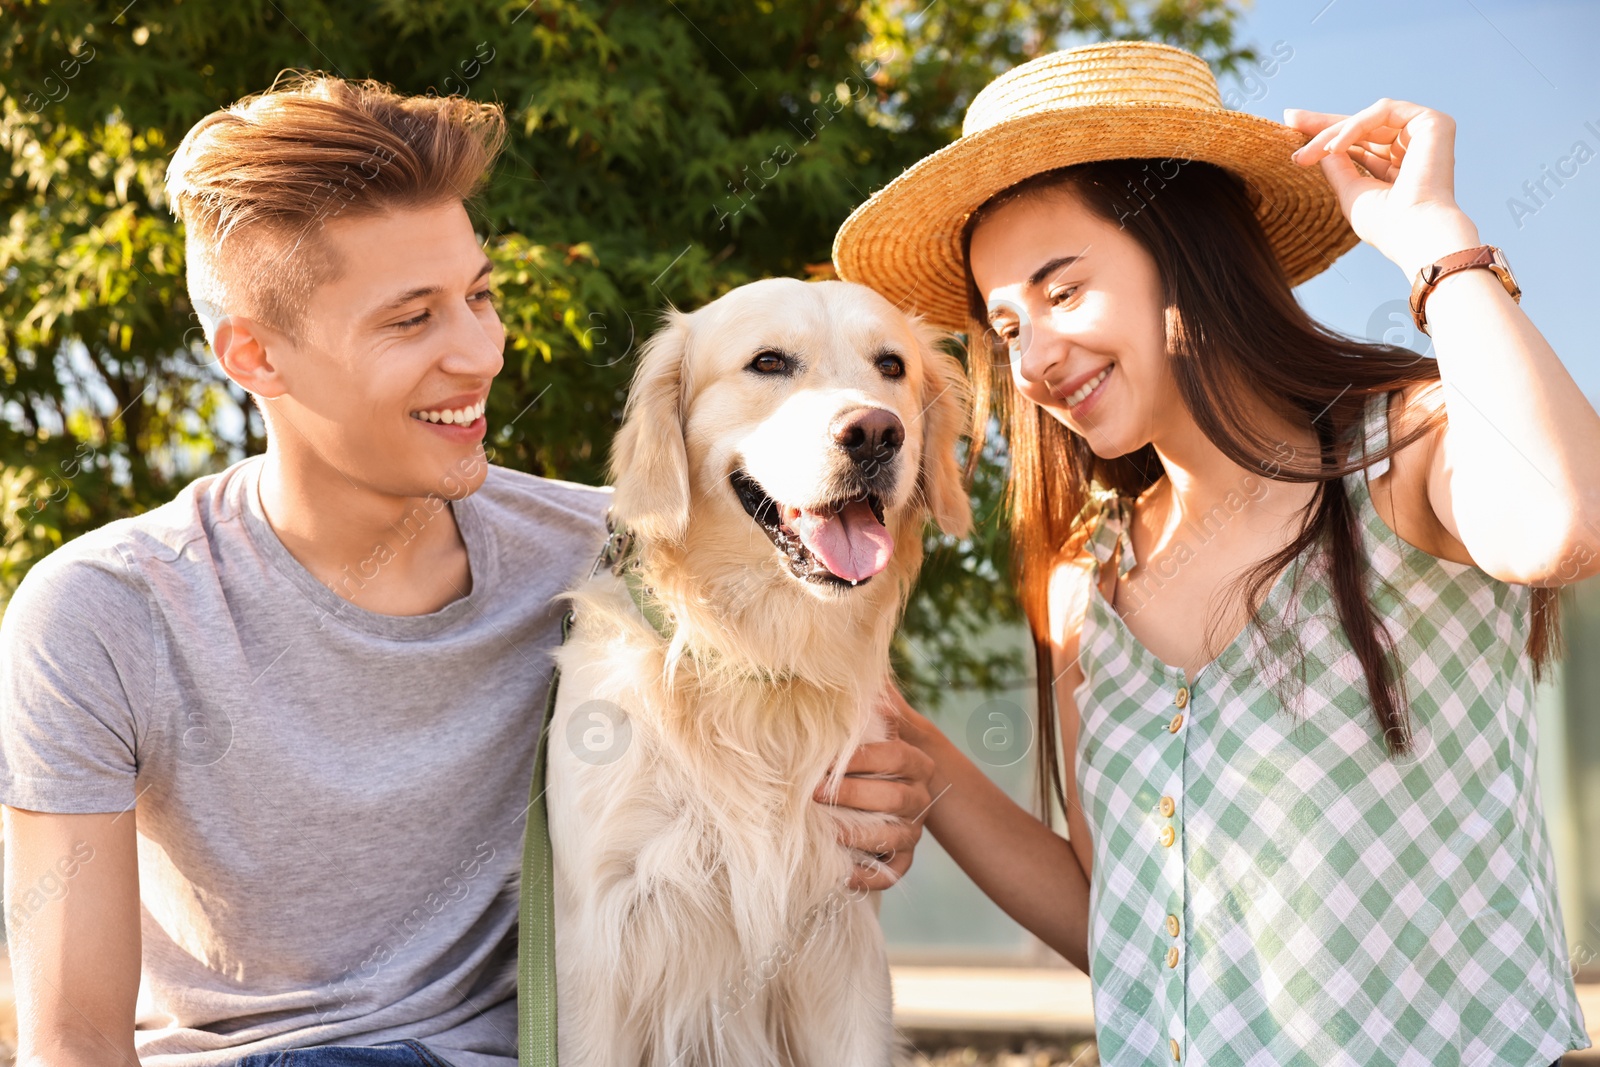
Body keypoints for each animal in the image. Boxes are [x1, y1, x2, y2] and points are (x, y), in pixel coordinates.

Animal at [544, 278, 966, 1067]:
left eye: (891, 365)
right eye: (768, 362)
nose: (876, 433)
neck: (761, 659)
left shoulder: (842, 936)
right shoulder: (595, 948)